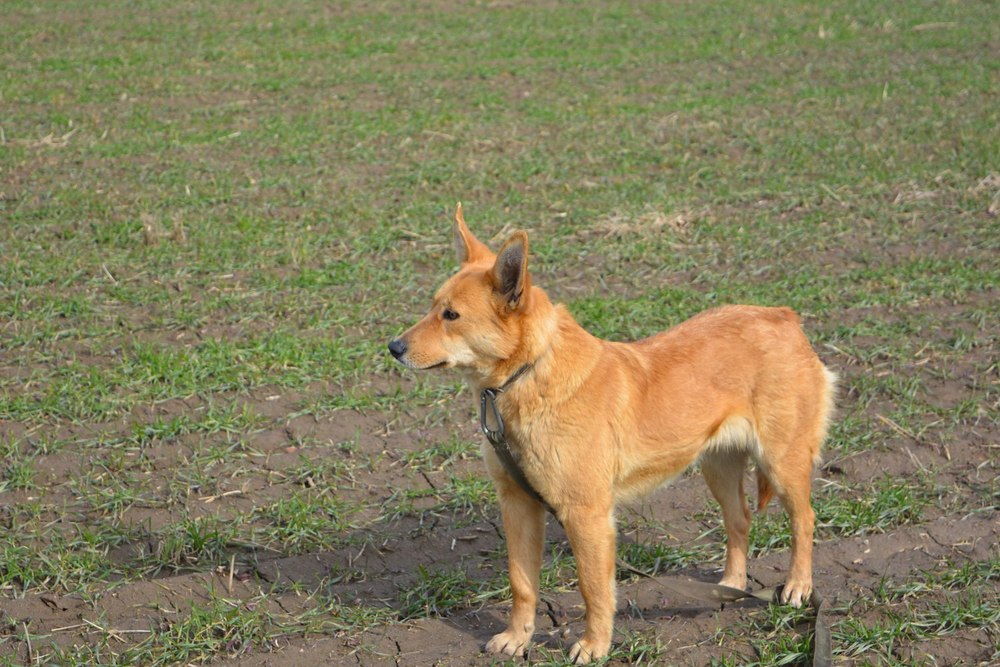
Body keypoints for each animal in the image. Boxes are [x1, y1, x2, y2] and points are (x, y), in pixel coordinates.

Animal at [388, 206, 836, 664]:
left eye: (451, 316)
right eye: (432, 307)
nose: (393, 347)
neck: (529, 374)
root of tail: (783, 315)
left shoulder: (586, 516)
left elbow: (594, 590)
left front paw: (594, 646)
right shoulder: (517, 504)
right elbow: (522, 582)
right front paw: (517, 638)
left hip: (781, 462)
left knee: (804, 519)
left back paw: (797, 586)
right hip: (718, 466)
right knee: (740, 519)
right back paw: (730, 586)